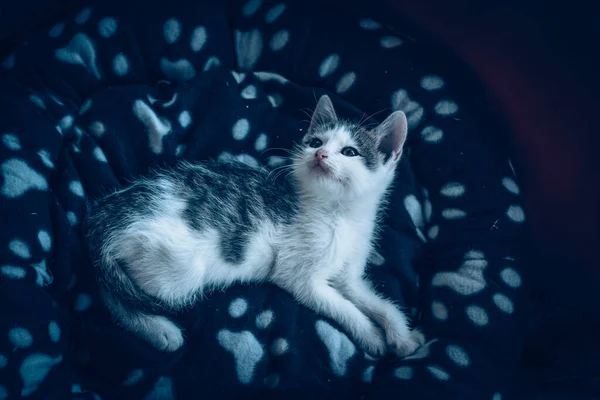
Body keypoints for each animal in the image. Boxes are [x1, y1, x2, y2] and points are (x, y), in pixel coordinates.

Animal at [84, 95, 424, 358]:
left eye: (350, 152)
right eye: (315, 142)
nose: (320, 154)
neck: (339, 215)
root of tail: (104, 217)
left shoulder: (349, 277)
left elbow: (376, 301)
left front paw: (402, 335)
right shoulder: (298, 278)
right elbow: (344, 307)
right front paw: (372, 335)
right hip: (179, 270)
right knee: (111, 292)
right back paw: (159, 330)